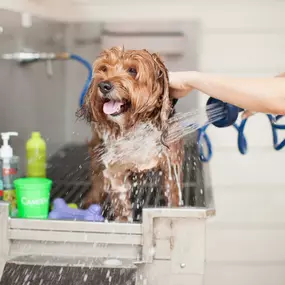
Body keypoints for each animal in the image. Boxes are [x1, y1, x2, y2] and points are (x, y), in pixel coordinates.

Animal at [79, 46, 183, 221]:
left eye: (132, 70)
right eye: (104, 68)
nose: (103, 85)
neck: (135, 128)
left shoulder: (171, 165)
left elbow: (173, 198)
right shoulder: (115, 170)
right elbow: (122, 207)